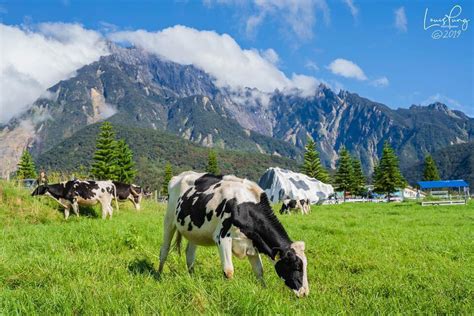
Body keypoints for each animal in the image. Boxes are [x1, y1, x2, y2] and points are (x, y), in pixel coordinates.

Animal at [159, 172, 312, 298]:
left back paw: (192, 277)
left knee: (190, 254)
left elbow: (259, 271)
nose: (305, 293)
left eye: (305, 266)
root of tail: (180, 175)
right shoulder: (222, 238)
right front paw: (229, 291)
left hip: (194, 230)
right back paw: (159, 275)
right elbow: (228, 271)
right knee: (164, 250)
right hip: (169, 220)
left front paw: (264, 290)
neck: (244, 206)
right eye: (296, 266)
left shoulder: (253, 243)